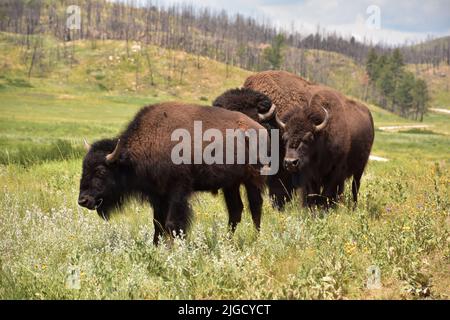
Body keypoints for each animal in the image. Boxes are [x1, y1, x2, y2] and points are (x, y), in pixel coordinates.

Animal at [78, 103, 268, 245]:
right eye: (84, 167)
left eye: (101, 171)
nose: (83, 200)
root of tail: (260, 129)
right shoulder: (157, 195)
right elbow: (158, 223)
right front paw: (156, 247)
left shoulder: (177, 191)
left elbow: (172, 224)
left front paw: (171, 248)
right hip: (230, 184)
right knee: (235, 210)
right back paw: (227, 241)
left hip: (252, 180)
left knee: (255, 206)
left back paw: (255, 239)